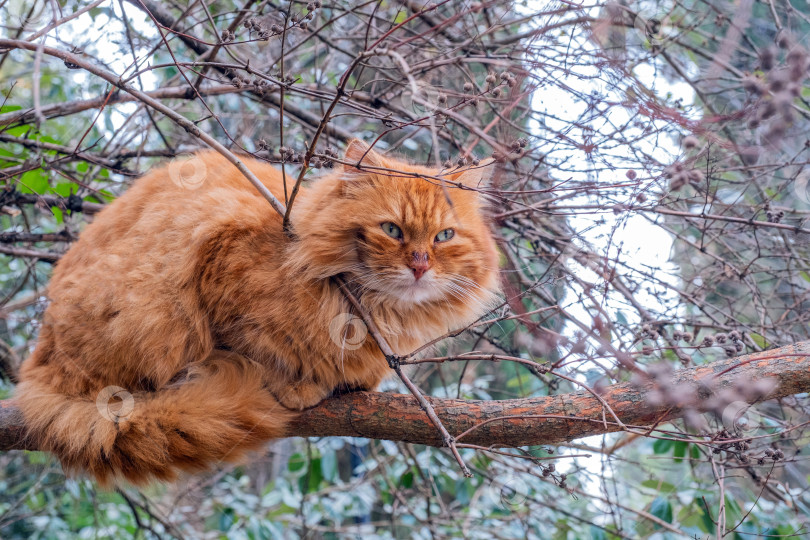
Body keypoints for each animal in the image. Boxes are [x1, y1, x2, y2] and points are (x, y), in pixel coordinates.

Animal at [14, 140, 498, 486]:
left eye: (444, 236)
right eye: (392, 230)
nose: (419, 266)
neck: (372, 313)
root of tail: (39, 366)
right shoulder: (219, 251)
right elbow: (256, 347)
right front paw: (293, 383)